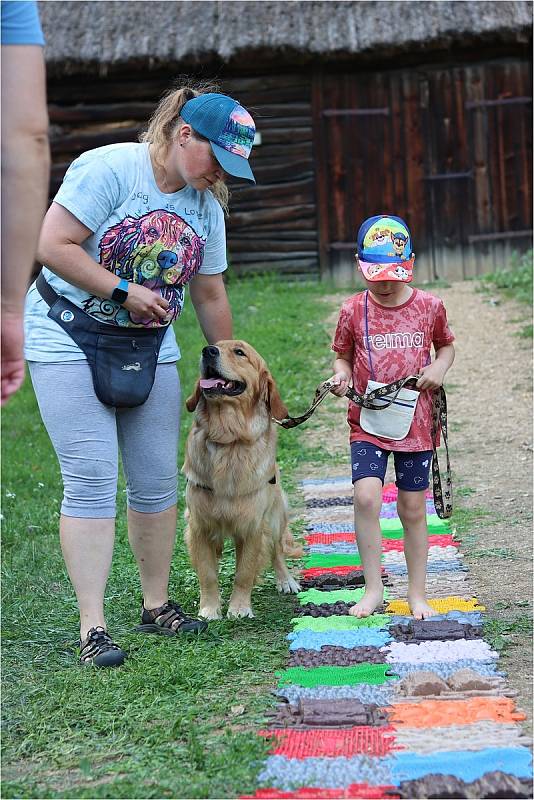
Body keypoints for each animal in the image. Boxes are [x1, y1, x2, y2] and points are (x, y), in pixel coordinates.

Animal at [183, 338, 302, 620]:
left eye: (240, 352)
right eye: (214, 346)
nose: (208, 351)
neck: (229, 439)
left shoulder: (252, 527)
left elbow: (244, 573)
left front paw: (239, 608)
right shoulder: (199, 526)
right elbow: (208, 574)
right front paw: (209, 609)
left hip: (275, 517)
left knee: (277, 550)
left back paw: (286, 580)